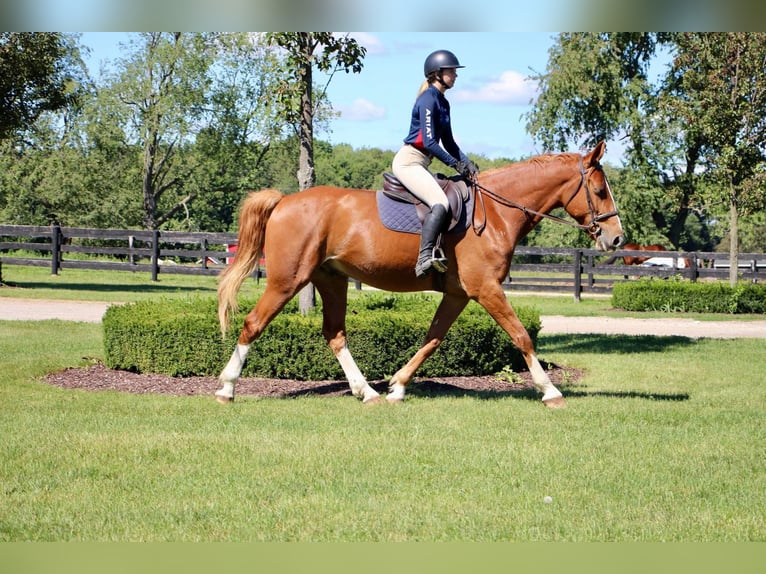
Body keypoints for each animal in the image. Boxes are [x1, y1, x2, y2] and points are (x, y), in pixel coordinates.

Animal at [216, 142, 624, 410]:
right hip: (288, 280)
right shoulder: (486, 289)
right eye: (599, 191)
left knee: (334, 334)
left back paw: (368, 392)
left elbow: (432, 339)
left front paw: (397, 386)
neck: (496, 211)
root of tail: (284, 200)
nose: (617, 238)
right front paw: (550, 391)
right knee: (253, 323)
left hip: (330, 280)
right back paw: (227, 388)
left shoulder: (459, 293)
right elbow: (521, 335)